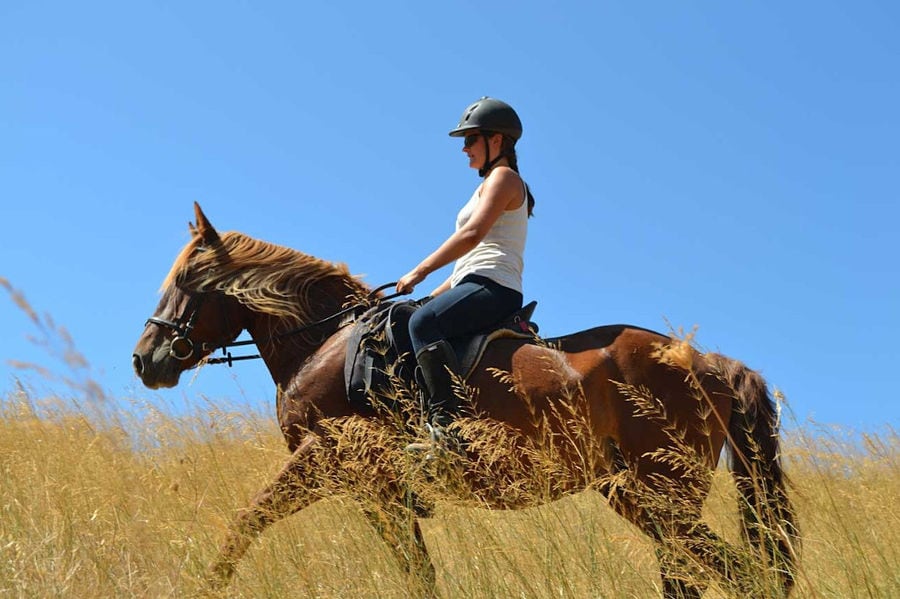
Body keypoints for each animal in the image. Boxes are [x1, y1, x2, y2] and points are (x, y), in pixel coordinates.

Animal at [132, 204, 796, 596]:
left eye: (186, 283)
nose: (145, 360)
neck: (326, 342)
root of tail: (707, 362)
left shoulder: (326, 461)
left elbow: (244, 524)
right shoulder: (377, 491)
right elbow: (418, 571)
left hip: (663, 494)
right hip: (638, 495)